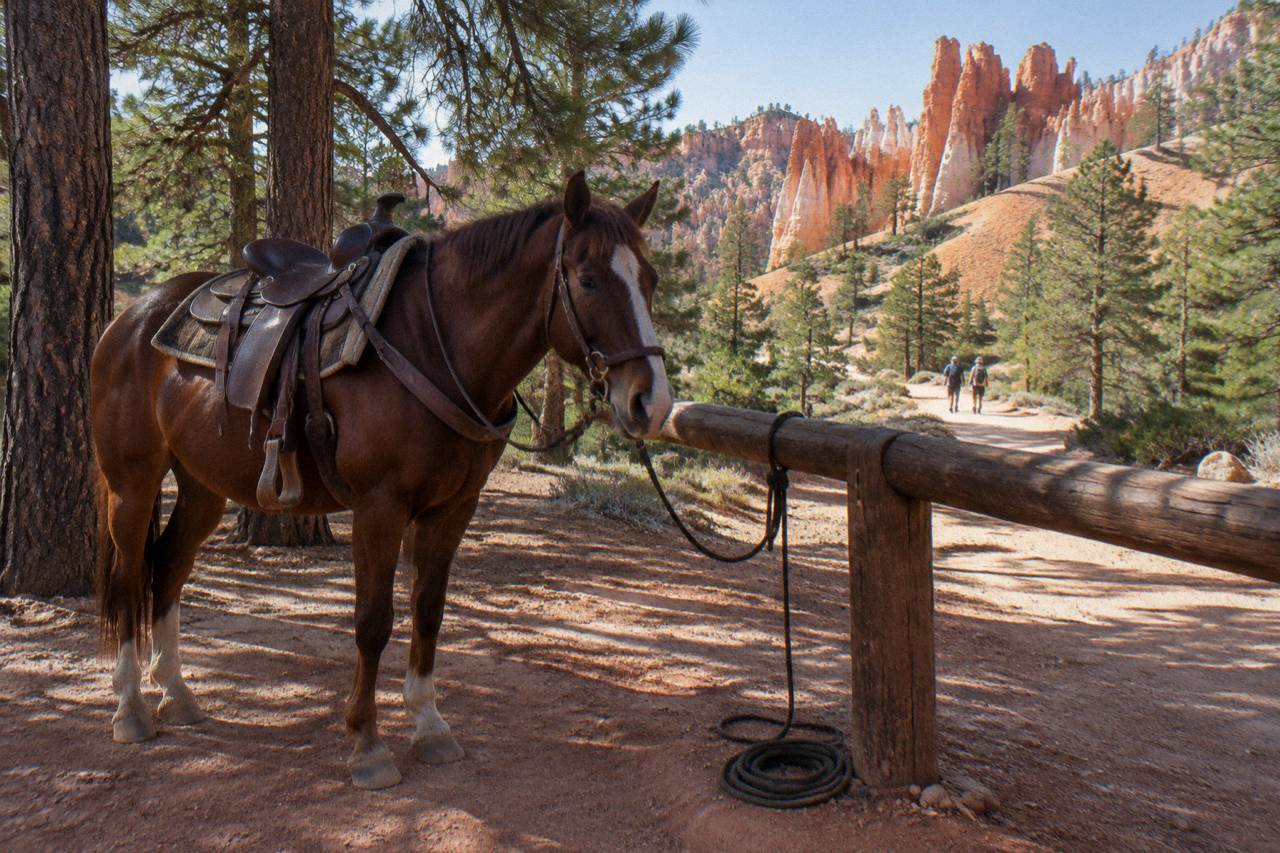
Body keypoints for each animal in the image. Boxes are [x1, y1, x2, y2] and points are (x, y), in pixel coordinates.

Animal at [90, 172, 673, 789]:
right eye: (588, 279)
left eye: (651, 279)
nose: (652, 402)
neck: (435, 345)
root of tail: (131, 318)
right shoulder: (380, 507)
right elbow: (373, 622)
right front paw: (367, 744)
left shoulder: (454, 507)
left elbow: (429, 610)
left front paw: (430, 726)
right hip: (132, 483)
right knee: (128, 577)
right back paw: (129, 708)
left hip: (203, 486)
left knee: (168, 568)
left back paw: (176, 695)